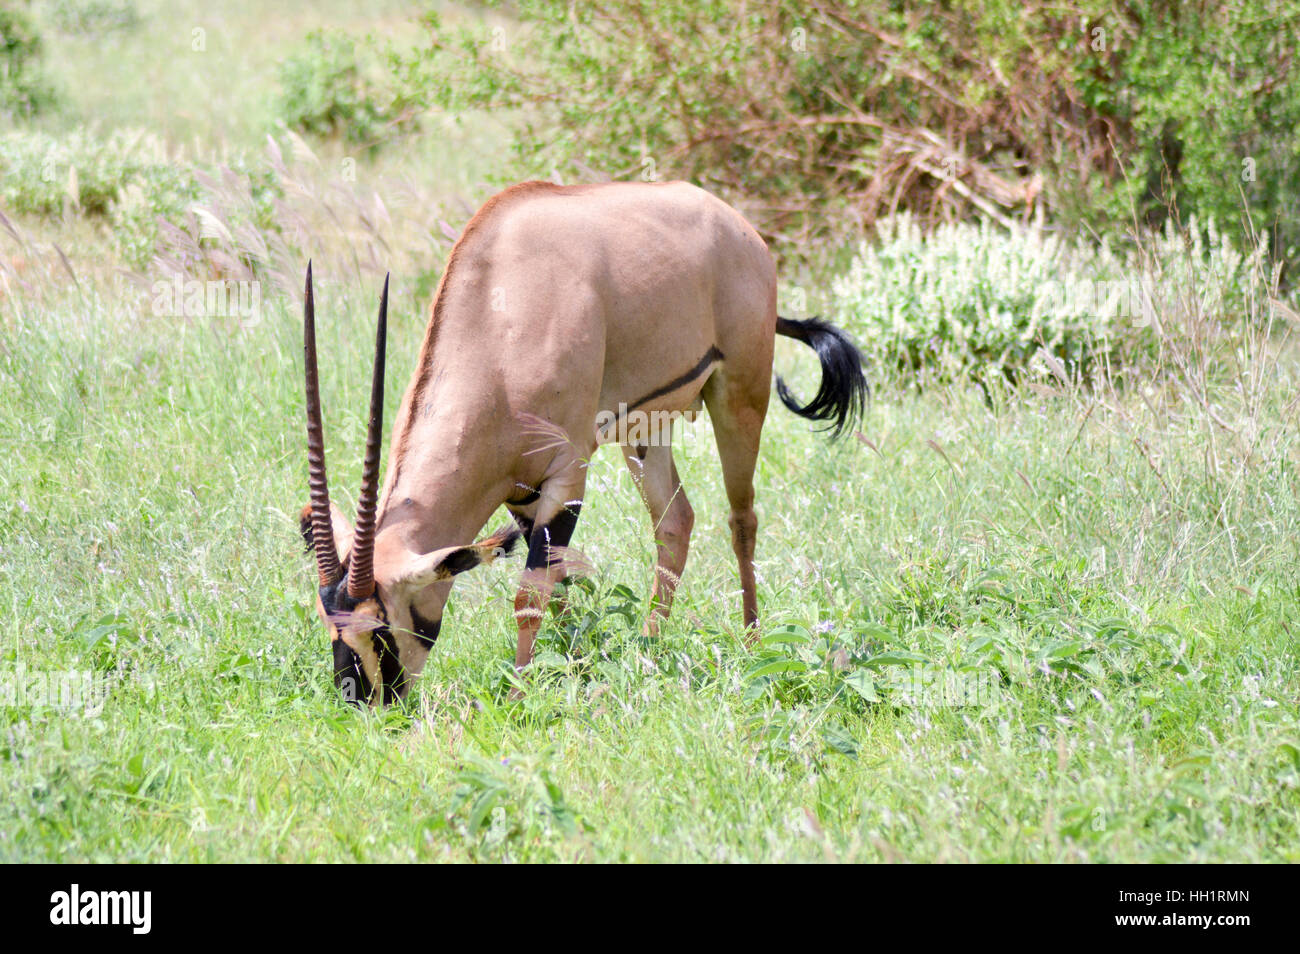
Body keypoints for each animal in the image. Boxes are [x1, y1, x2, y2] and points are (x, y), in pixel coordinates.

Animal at [297, 179, 857, 707]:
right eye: (329, 625)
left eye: (380, 628)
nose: (361, 705)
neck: (496, 316)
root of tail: (740, 228)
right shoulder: (521, 490)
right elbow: (558, 580)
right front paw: (573, 662)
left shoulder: (566, 475)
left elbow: (529, 594)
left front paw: (520, 694)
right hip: (645, 430)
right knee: (674, 523)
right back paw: (650, 648)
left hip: (740, 396)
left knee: (742, 520)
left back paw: (752, 641)